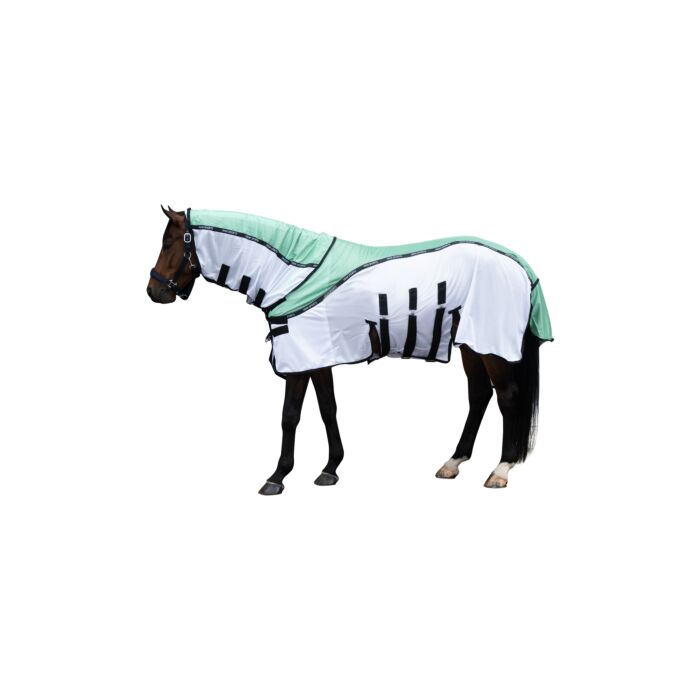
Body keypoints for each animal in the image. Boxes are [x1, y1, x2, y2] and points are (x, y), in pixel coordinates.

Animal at [147, 206, 553, 495]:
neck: (291, 273)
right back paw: (453, 463)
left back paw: (500, 470)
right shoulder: (317, 356)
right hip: (472, 344)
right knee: (480, 395)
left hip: (491, 346)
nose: (155, 292)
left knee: (508, 397)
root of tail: (520, 266)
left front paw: (277, 476)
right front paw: (330, 469)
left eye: (169, 243)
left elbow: (290, 416)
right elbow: (328, 409)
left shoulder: (299, 358)